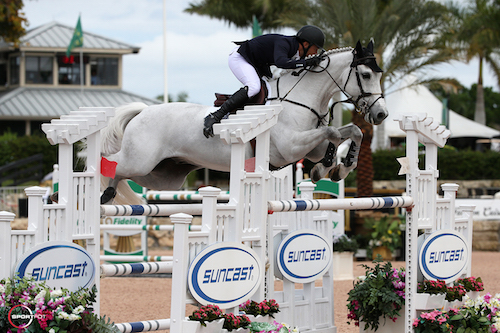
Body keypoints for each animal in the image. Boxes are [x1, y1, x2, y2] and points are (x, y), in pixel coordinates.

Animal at [99, 40, 388, 204]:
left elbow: (350, 131)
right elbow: (333, 132)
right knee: (110, 164)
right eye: (365, 74)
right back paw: (103, 190)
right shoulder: (289, 148)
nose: (381, 115)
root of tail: (142, 112)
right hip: (140, 160)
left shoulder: (309, 146)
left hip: (162, 176)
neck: (299, 99)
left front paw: (339, 167)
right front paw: (326, 168)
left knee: (123, 174)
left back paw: (110, 194)